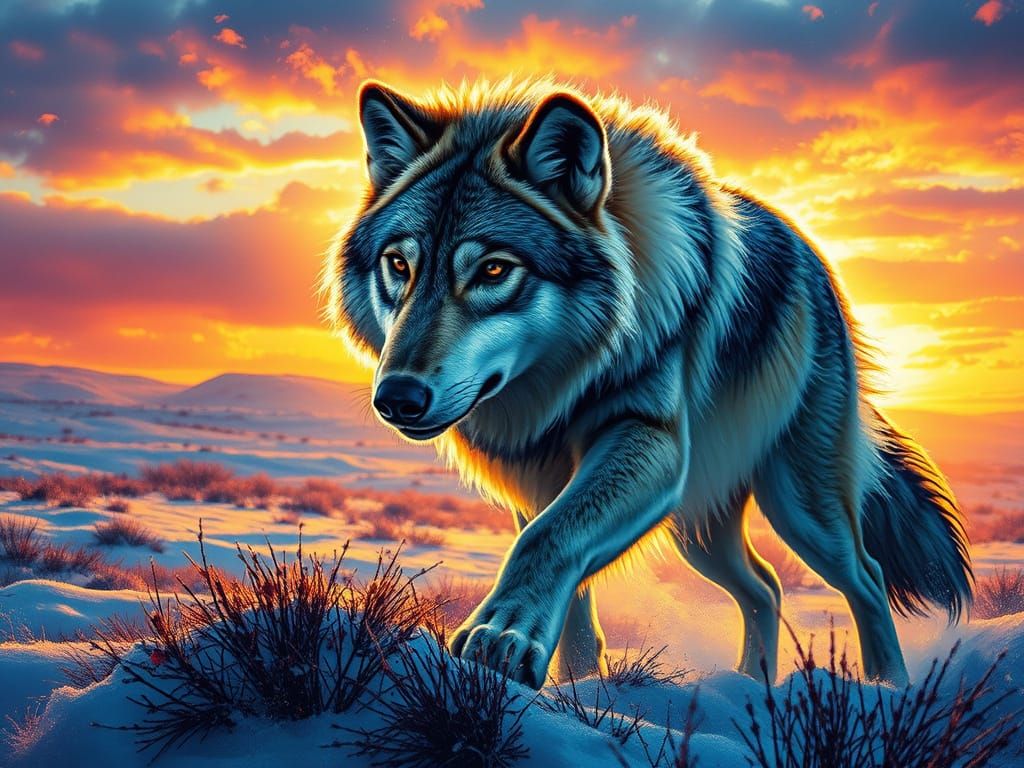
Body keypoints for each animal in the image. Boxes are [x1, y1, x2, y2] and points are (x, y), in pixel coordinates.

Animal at [323, 78, 972, 690]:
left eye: (493, 270)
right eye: (399, 266)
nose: (397, 399)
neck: (557, 391)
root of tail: (815, 258)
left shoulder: (646, 438)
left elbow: (547, 539)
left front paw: (502, 636)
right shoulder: (540, 483)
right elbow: (561, 572)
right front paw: (574, 685)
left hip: (799, 507)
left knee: (867, 577)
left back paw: (887, 690)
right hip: (701, 525)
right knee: (764, 586)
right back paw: (750, 685)